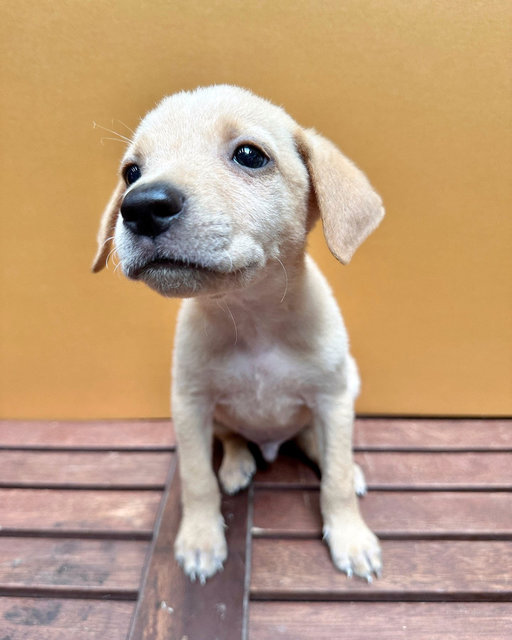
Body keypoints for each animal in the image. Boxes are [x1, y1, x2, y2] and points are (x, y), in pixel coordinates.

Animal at [92, 85, 384, 584]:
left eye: (249, 155)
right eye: (132, 172)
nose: (141, 206)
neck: (252, 320)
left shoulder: (332, 398)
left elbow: (337, 483)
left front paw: (351, 538)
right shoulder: (189, 405)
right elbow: (196, 480)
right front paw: (200, 540)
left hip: (346, 387)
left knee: (318, 442)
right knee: (232, 436)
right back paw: (237, 464)